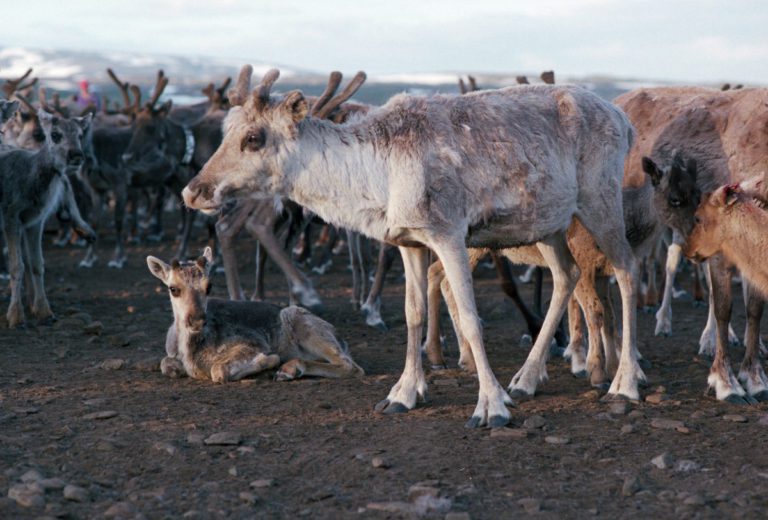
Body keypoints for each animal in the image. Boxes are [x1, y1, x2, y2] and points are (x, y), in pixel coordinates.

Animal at [150, 248, 366, 382]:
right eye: (173, 288)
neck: (189, 351)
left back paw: (288, 369)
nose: (197, 320)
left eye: (209, 286)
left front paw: (269, 360)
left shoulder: (254, 342)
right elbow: (165, 364)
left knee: (352, 366)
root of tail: (340, 338)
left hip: (301, 320)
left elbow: (218, 370)